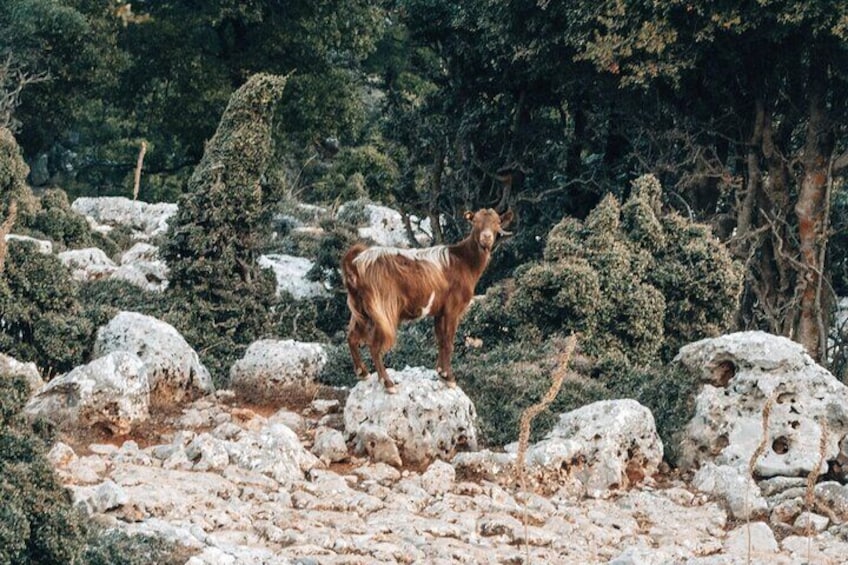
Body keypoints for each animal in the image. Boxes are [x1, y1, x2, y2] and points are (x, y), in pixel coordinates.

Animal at [342, 207, 512, 392]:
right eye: (475, 222)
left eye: (497, 222)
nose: (486, 237)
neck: (463, 261)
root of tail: (356, 264)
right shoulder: (453, 309)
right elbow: (449, 341)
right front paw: (449, 378)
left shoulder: (439, 311)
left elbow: (441, 339)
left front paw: (441, 373)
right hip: (383, 311)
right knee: (374, 346)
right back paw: (387, 383)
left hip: (360, 309)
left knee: (352, 337)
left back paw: (363, 372)